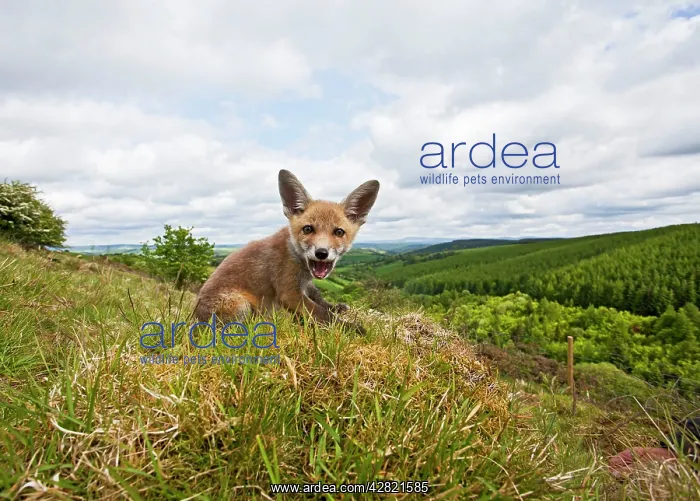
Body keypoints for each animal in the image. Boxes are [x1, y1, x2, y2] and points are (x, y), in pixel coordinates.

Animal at [194, 169, 380, 331]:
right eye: (308, 229)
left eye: (339, 232)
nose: (321, 253)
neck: (297, 258)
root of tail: (194, 318)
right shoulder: (289, 292)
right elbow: (321, 313)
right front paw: (350, 328)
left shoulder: (304, 284)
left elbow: (319, 298)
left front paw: (335, 307)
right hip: (241, 305)